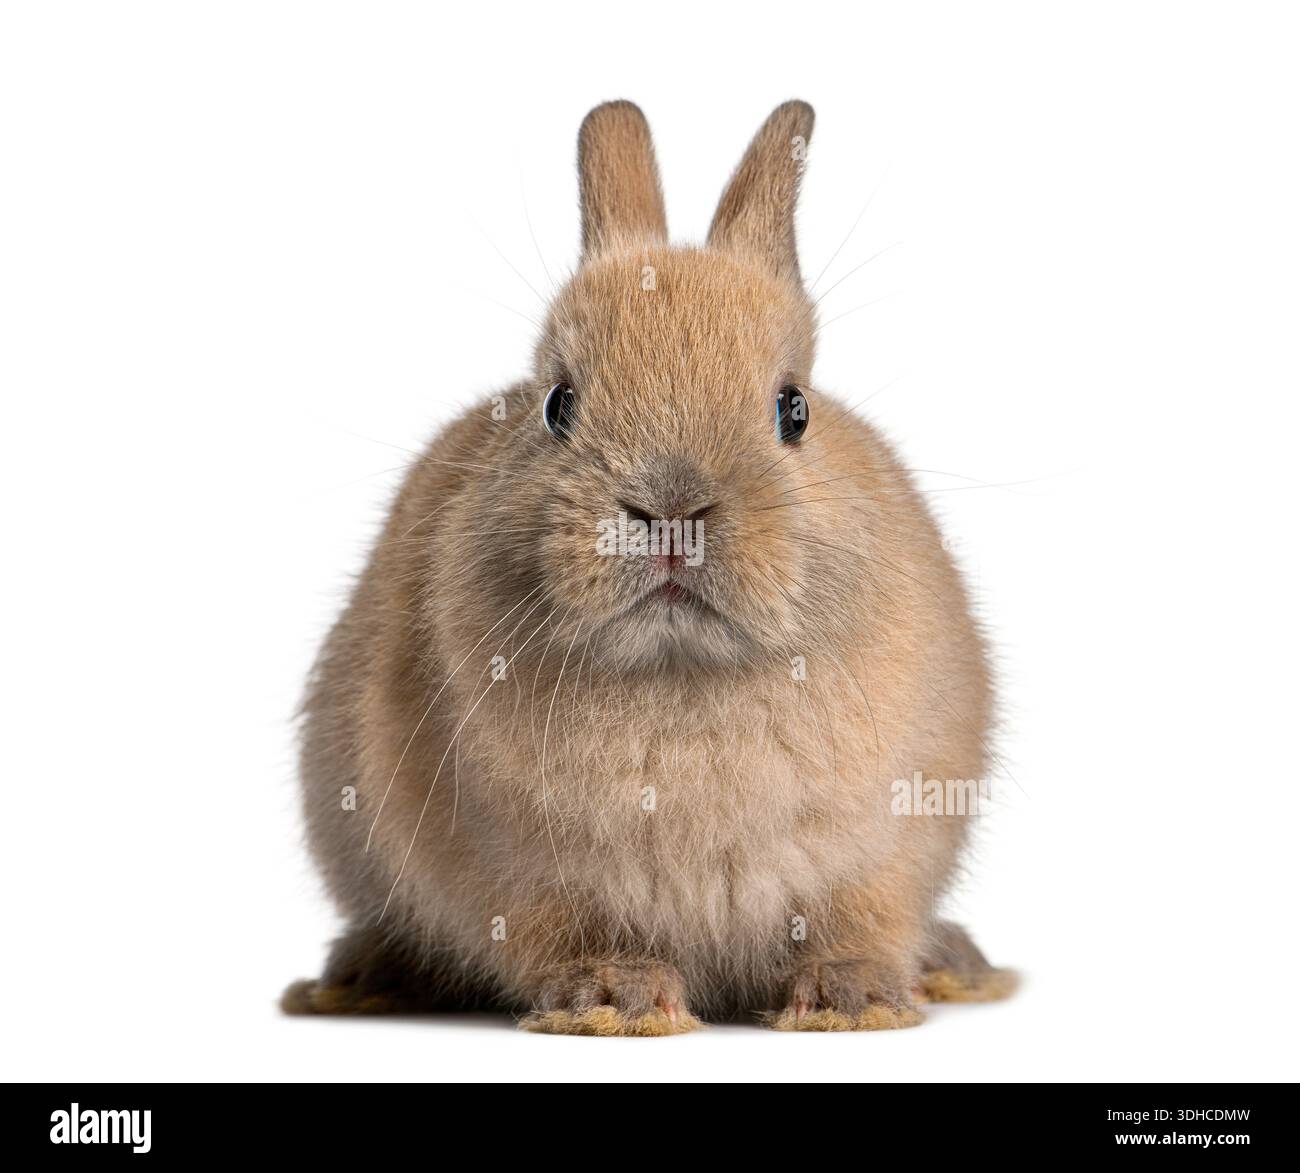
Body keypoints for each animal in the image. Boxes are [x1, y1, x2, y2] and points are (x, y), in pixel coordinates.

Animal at [281, 99, 1017, 1034]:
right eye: (558, 404)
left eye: (794, 408)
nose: (670, 511)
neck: (682, 675)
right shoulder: (521, 876)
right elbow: (560, 932)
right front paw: (615, 996)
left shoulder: (886, 848)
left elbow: (860, 919)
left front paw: (852, 996)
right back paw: (355, 981)